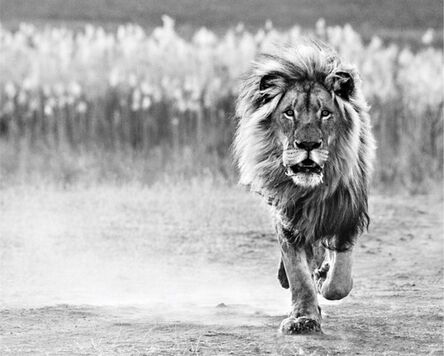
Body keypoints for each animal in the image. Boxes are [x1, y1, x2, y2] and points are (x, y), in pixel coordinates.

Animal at [234, 43, 376, 336]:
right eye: (289, 113)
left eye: (326, 113)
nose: (307, 144)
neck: (312, 192)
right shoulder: (289, 219)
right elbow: (298, 274)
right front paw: (304, 318)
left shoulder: (347, 214)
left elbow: (339, 281)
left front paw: (324, 280)